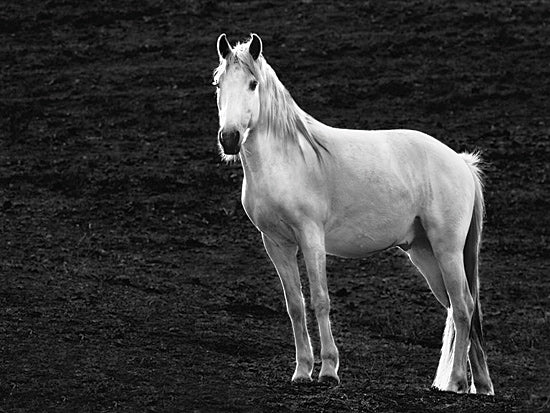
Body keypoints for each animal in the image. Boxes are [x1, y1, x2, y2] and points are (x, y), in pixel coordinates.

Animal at [215, 33, 496, 394]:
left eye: (253, 84)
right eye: (218, 84)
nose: (229, 138)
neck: (290, 159)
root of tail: (461, 162)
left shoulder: (311, 238)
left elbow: (320, 299)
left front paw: (328, 370)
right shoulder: (276, 244)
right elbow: (295, 305)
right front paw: (301, 371)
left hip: (447, 250)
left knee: (463, 307)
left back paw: (457, 381)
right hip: (426, 254)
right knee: (459, 309)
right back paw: (479, 385)